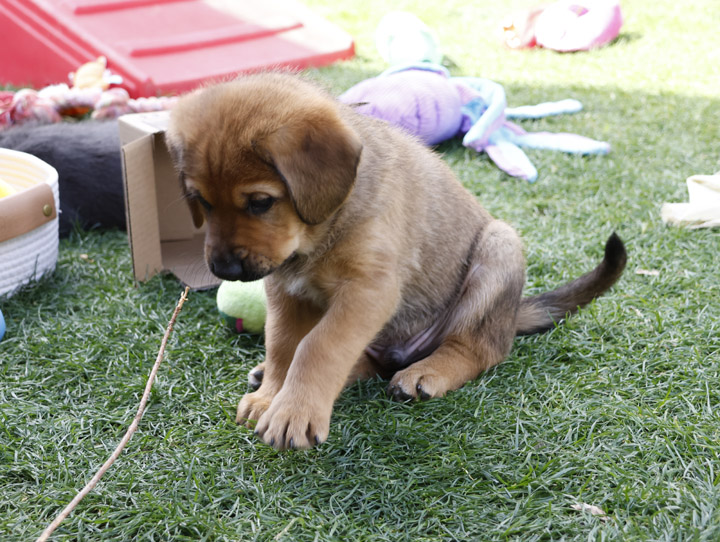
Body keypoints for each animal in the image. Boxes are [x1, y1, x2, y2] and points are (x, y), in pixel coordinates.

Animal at [166, 73, 628, 454]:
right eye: (201, 201)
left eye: (261, 202)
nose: (224, 271)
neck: (324, 231)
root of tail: (513, 315)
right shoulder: (284, 290)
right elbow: (283, 346)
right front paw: (271, 397)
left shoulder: (369, 289)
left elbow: (318, 345)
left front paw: (294, 409)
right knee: (369, 361)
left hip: (499, 247)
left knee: (480, 348)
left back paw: (428, 372)